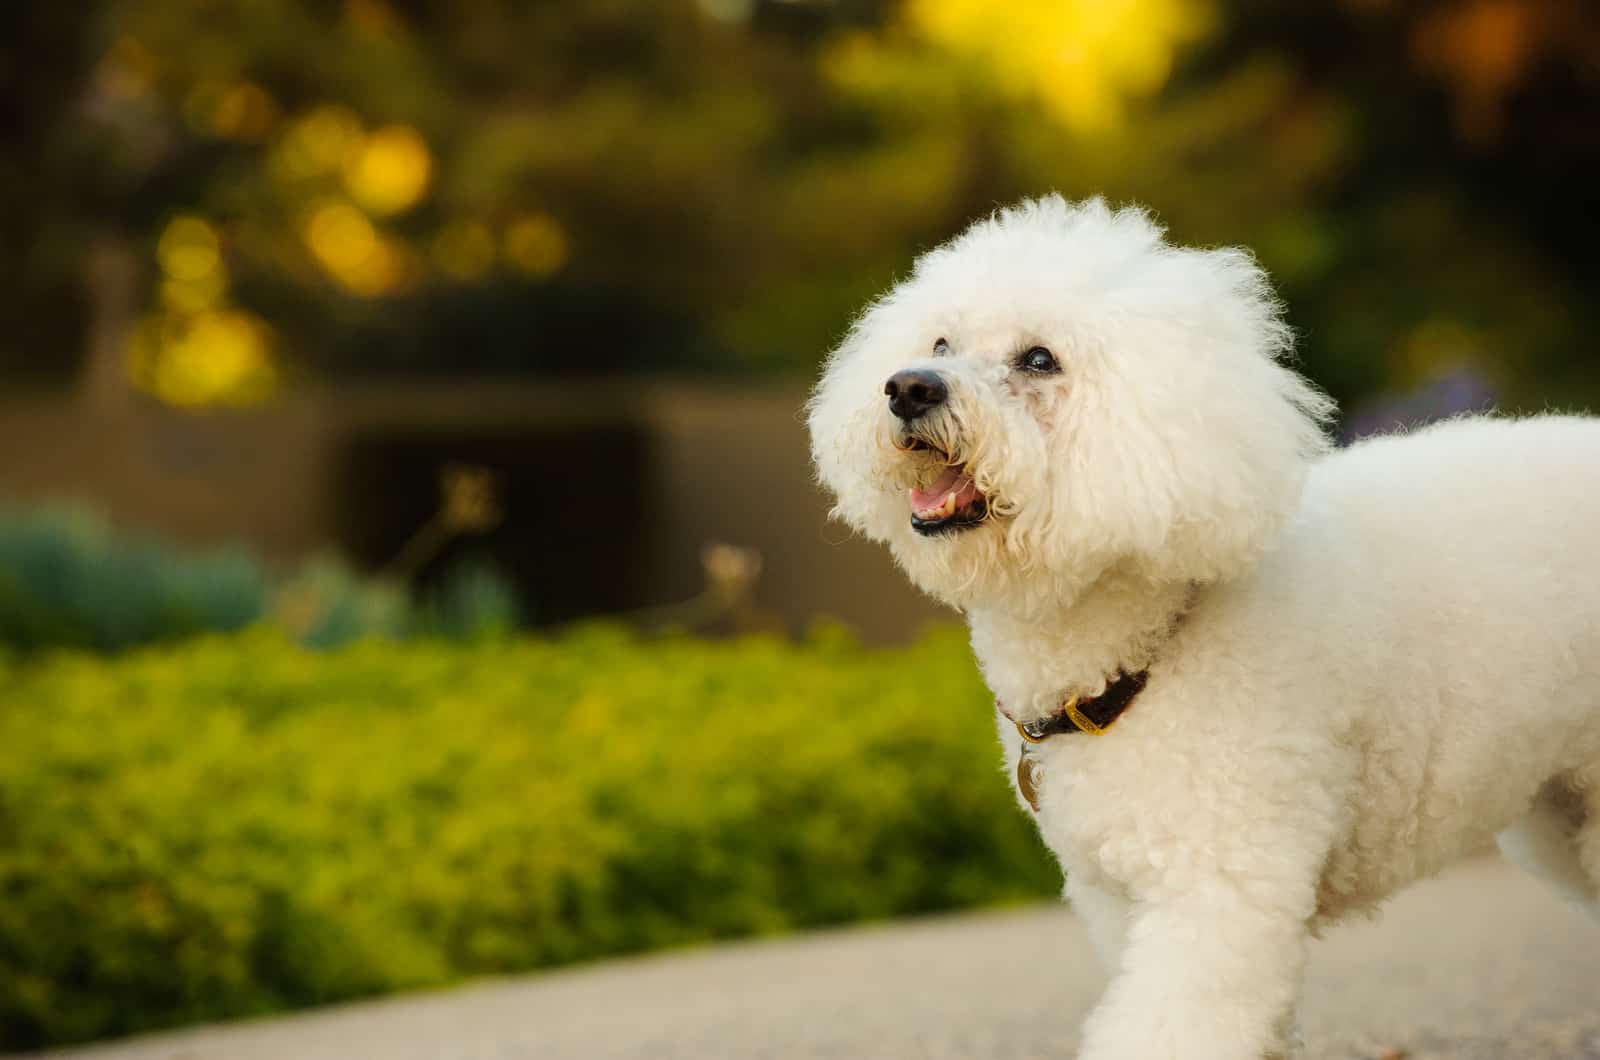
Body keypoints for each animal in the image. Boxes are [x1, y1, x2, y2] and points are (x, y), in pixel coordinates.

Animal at [812, 196, 1600, 1056]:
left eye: (1040, 359)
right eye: (940, 344)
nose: (907, 387)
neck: (1143, 648)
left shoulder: (1220, 884)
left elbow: (1176, 1021)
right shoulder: (1120, 898)